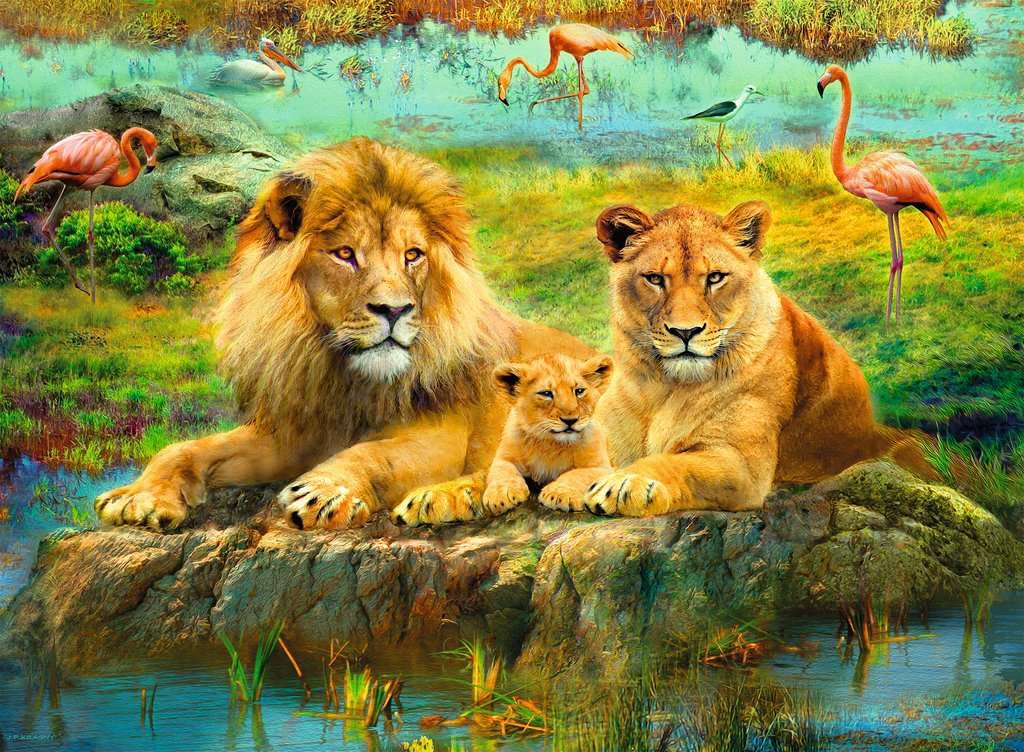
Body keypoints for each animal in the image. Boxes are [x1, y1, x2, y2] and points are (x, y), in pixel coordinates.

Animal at [94, 138, 592, 531]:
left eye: (413, 255)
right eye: (346, 254)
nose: (395, 309)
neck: (344, 378)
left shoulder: (442, 435)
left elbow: (373, 454)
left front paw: (324, 491)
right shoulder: (294, 433)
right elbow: (184, 448)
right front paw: (138, 496)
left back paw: (442, 498)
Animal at [577, 199, 931, 517]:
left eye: (715, 277)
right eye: (654, 278)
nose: (685, 331)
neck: (664, 388)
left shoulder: (740, 465)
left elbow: (674, 462)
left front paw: (627, 483)